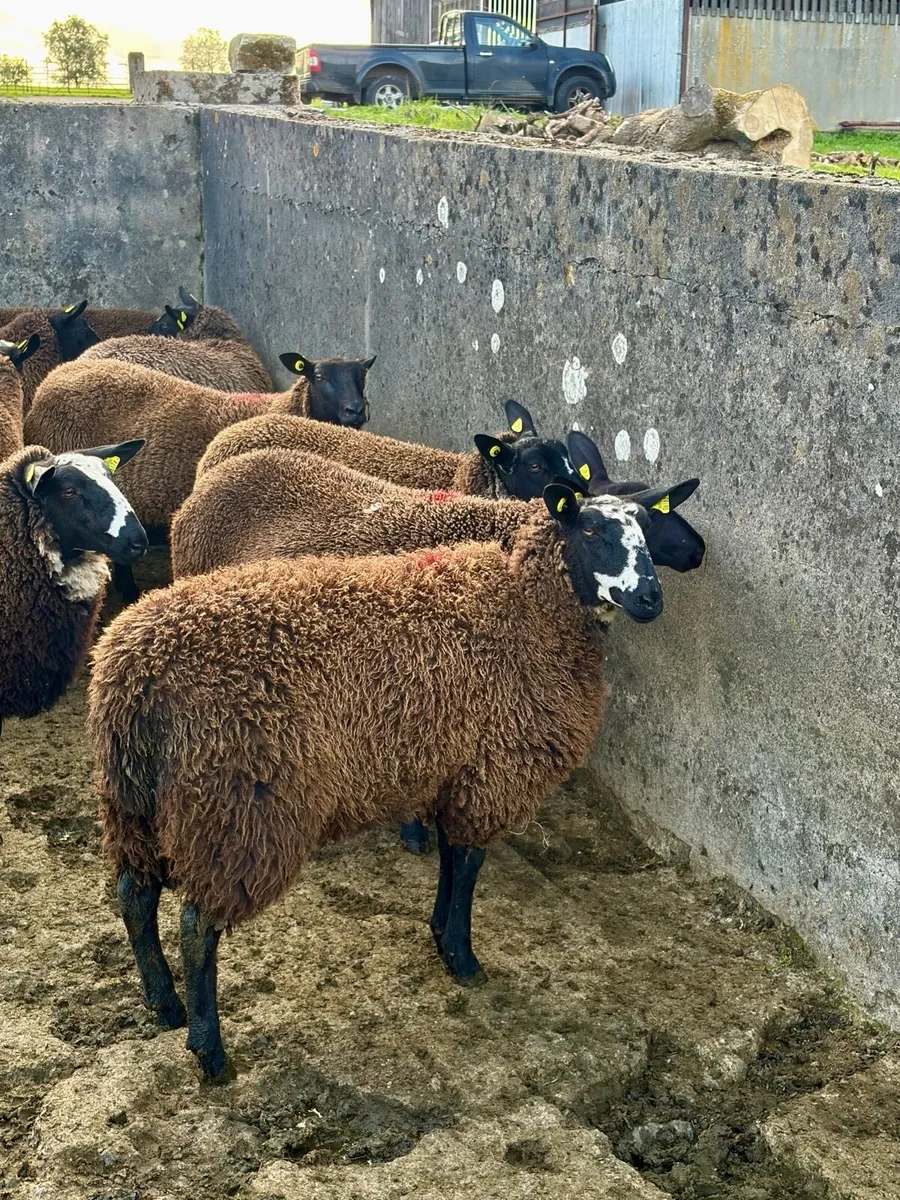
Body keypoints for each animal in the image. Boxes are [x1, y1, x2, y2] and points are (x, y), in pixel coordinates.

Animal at [89, 476, 687, 1079]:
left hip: (133, 802)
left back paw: (164, 1002)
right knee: (196, 926)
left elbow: (451, 857)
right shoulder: (493, 770)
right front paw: (463, 957)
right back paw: (209, 1049)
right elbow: (469, 865)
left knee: (133, 895)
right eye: (591, 530)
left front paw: (441, 935)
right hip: (235, 805)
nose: (651, 599)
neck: (526, 606)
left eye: (648, 527)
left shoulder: (452, 768)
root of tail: (131, 672)